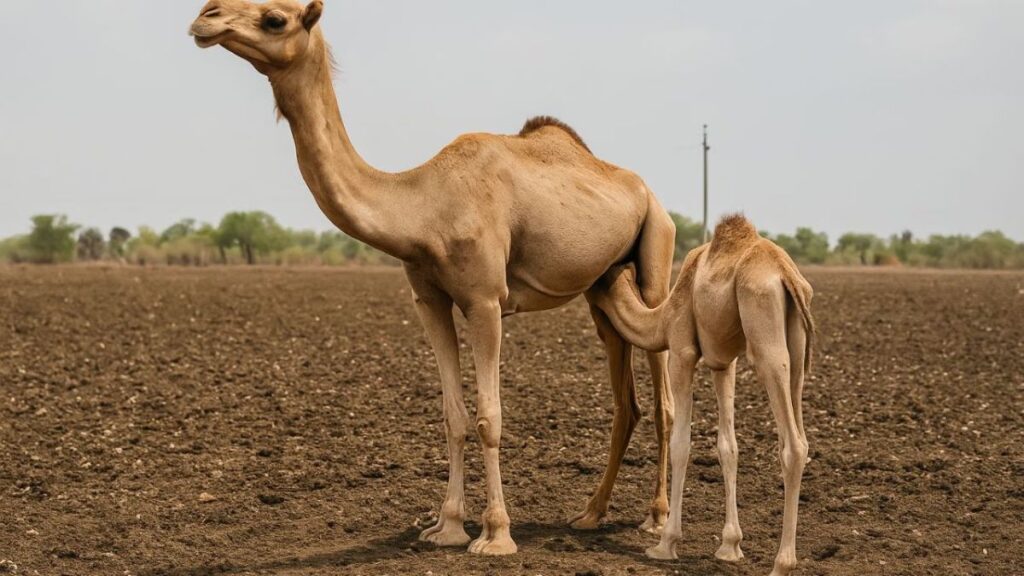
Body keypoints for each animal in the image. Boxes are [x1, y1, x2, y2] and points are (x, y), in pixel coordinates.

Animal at [189, 0, 678, 555]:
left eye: (275, 19)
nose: (206, 16)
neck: (422, 207)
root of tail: (646, 190)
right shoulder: (429, 299)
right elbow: (453, 415)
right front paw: (445, 527)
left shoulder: (485, 299)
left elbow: (490, 417)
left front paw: (495, 534)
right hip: (601, 289)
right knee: (625, 402)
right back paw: (590, 514)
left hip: (656, 250)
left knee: (663, 402)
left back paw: (656, 519)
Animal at [590, 215, 815, 576]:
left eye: (599, 282)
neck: (663, 315)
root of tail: (786, 274)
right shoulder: (724, 364)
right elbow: (728, 446)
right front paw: (730, 546)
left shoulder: (681, 352)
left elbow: (682, 444)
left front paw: (665, 544)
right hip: (797, 348)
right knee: (802, 435)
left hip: (765, 336)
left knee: (792, 445)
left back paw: (782, 563)